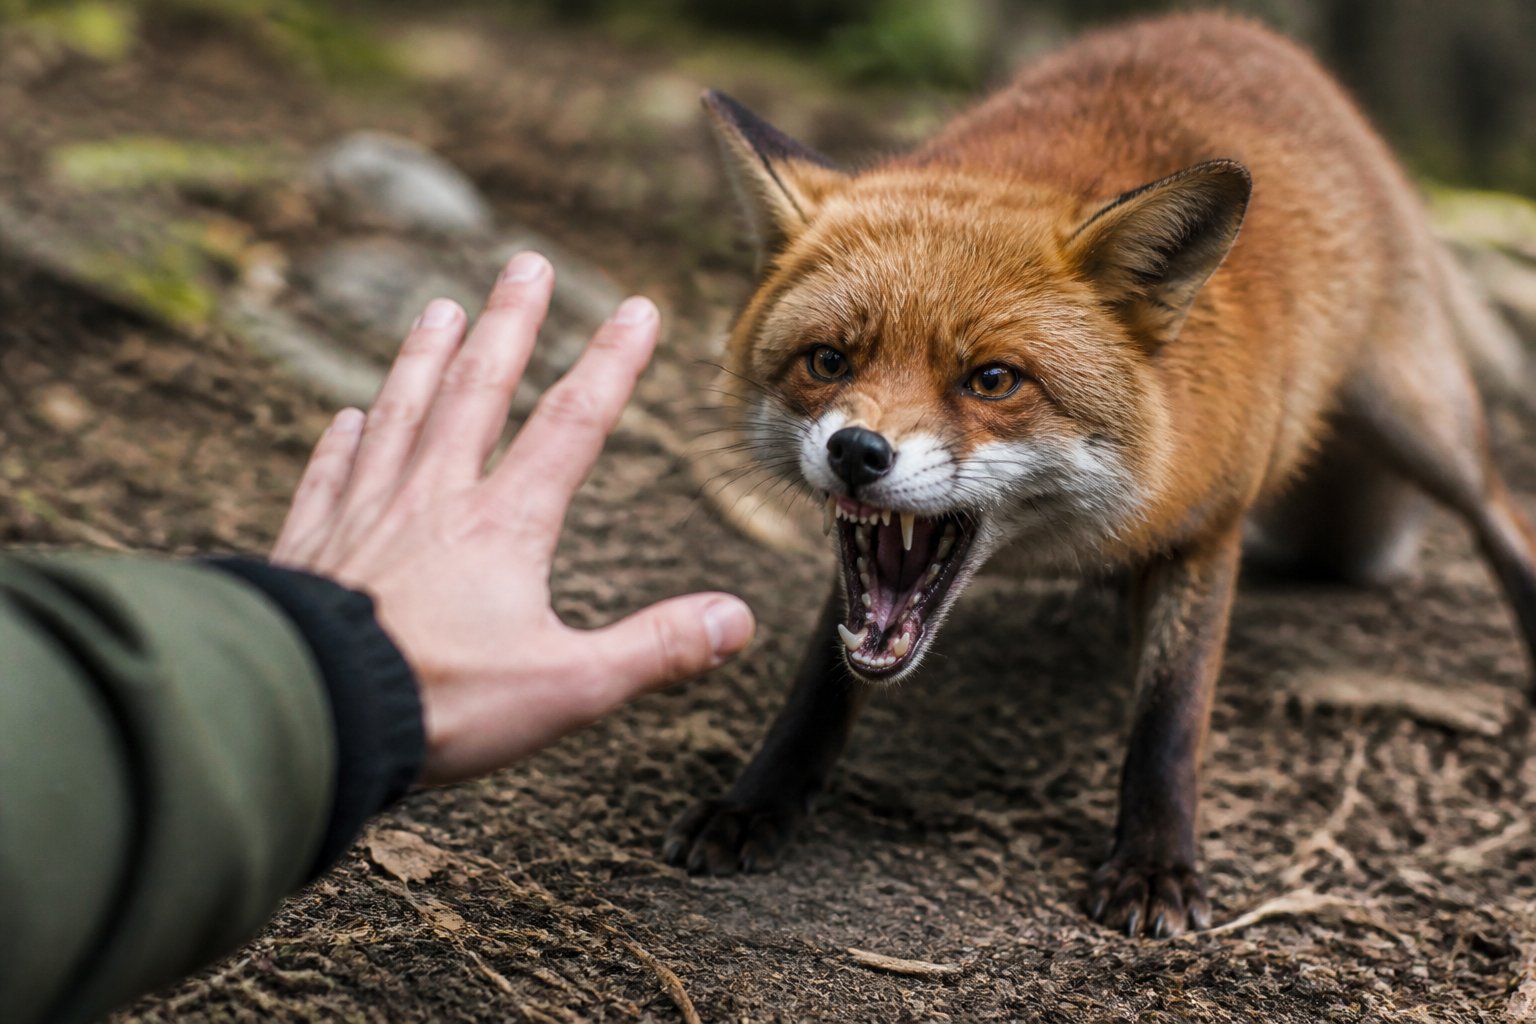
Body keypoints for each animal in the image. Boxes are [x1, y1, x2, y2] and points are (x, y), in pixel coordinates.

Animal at [663, 12, 1536, 938]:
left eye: (993, 380)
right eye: (828, 361)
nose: (858, 452)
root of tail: (1242, 29)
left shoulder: (1210, 530)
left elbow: (1170, 718)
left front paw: (1155, 864)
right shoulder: (866, 567)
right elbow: (821, 686)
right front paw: (758, 803)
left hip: (1422, 419)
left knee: (1501, 516)